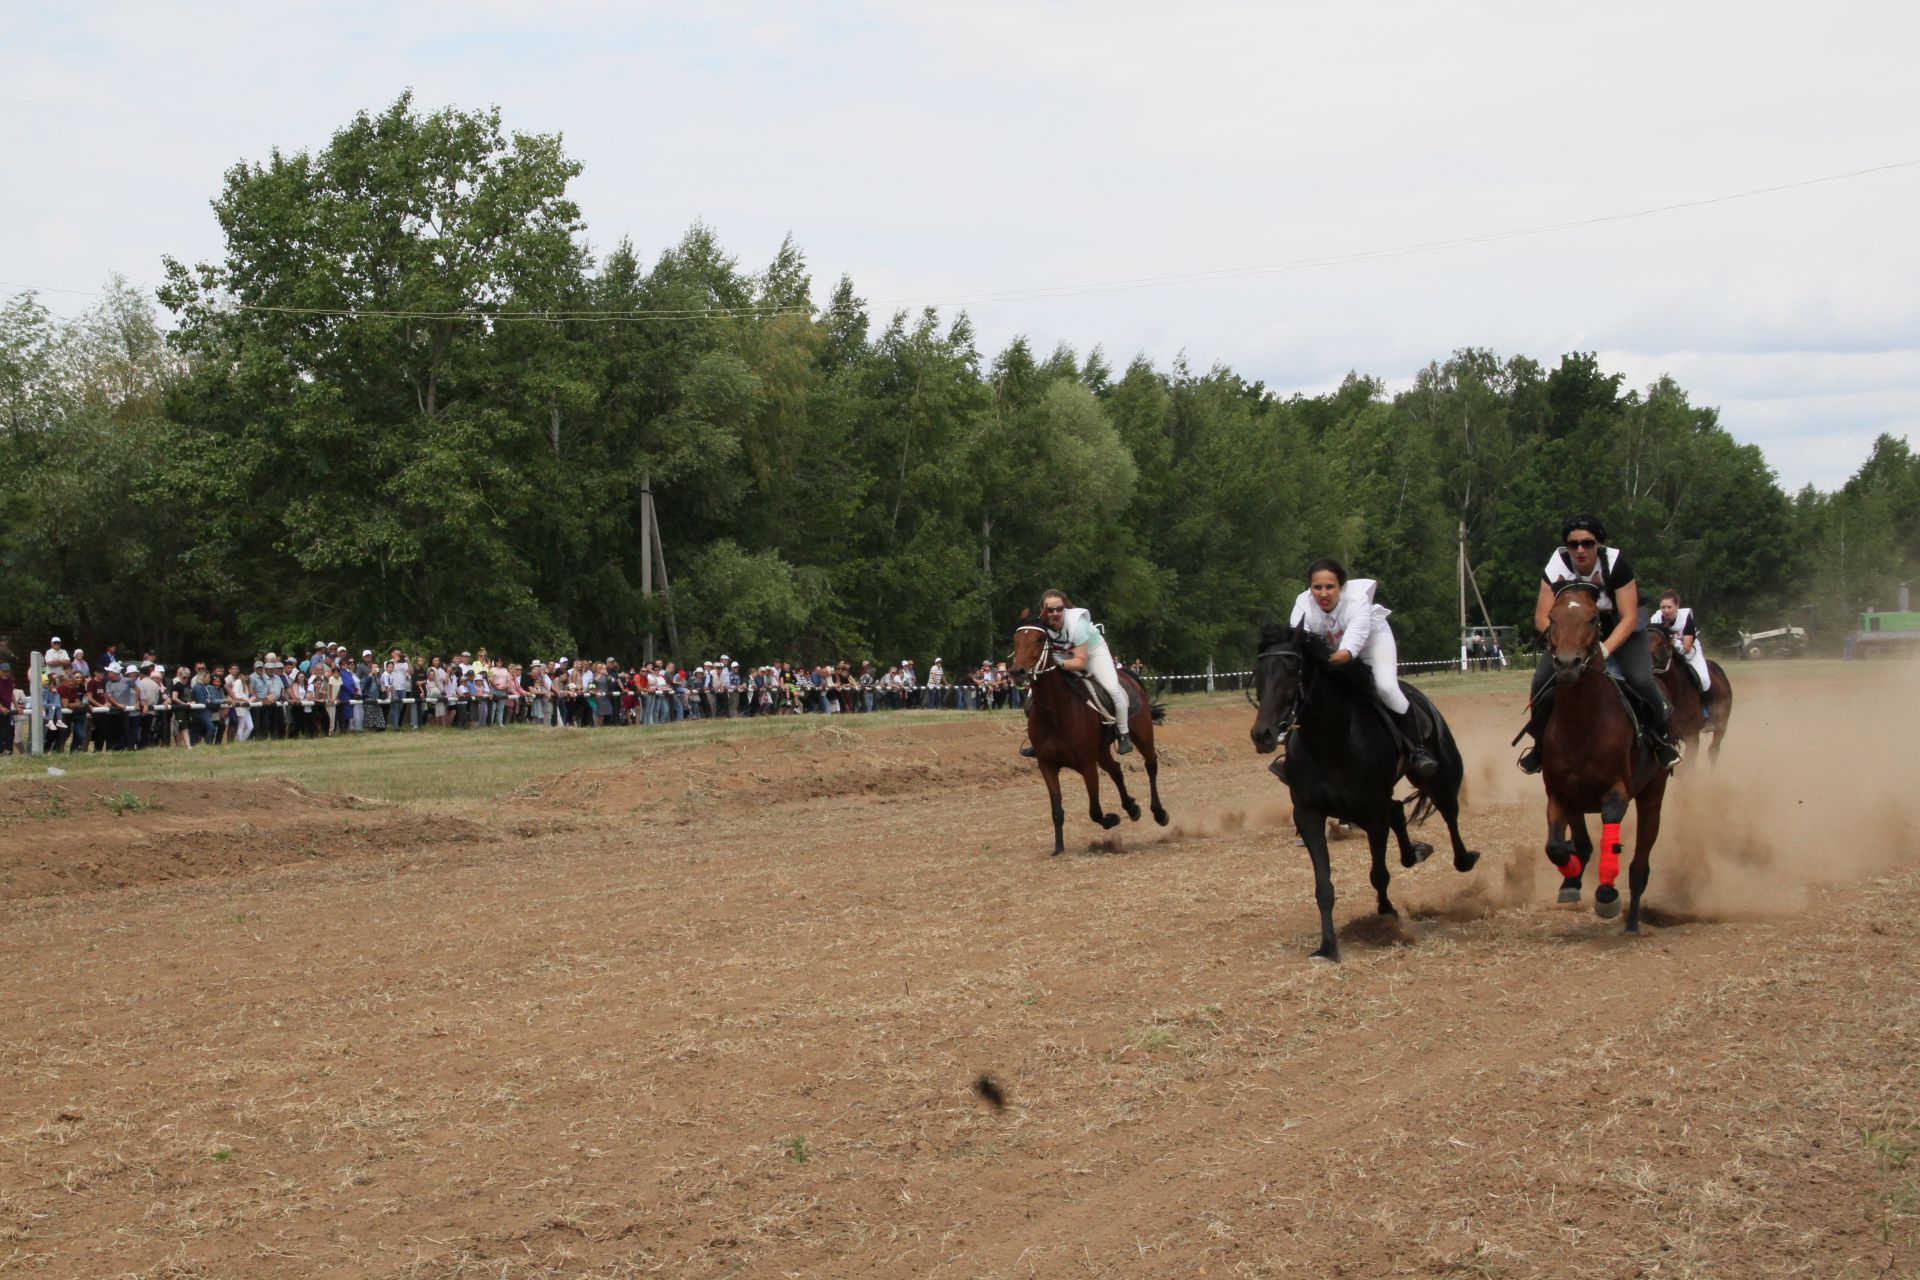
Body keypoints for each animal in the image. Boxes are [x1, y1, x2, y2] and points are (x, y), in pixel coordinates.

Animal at [1013, 614, 1159, 855]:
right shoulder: (1047, 765)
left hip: (1143, 734)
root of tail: (1130, 674)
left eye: (1039, 638)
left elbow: (1095, 811)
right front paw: (1058, 848)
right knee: (1116, 771)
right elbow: (1057, 810)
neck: (1055, 713)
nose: (1017, 672)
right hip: (1102, 751)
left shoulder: (1087, 765)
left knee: (1151, 766)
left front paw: (1112, 819)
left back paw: (1159, 813)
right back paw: (1132, 808)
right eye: (1015, 640)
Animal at [1251, 621, 1474, 959]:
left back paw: (1464, 859)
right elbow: (1324, 886)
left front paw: (1385, 917)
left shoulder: (1371, 814)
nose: (1262, 734)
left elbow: (1378, 873)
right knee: (1397, 810)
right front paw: (1328, 947)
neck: (1331, 741)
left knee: (1449, 814)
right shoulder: (1308, 814)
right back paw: (1416, 851)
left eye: (1292, 670)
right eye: (1258, 672)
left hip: (1439, 777)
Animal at [1536, 579, 1674, 932]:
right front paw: (1570, 877)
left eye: (1593, 619)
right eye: (1552, 618)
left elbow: (1609, 832)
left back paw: (1633, 922)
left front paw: (1607, 894)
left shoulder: (1617, 790)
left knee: (1640, 865)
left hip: (1653, 793)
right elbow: (1557, 847)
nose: (1567, 665)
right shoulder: (1560, 792)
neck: (1582, 722)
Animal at [1643, 625, 1735, 767]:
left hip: (1722, 723)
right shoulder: (1672, 737)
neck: (1675, 691)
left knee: (1713, 750)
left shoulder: (1692, 736)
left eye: (1661, 644)